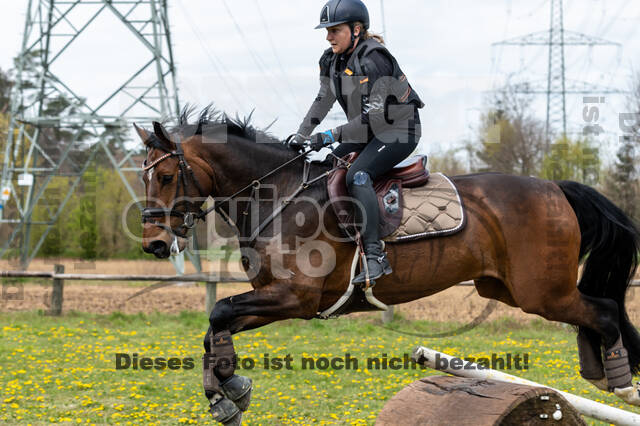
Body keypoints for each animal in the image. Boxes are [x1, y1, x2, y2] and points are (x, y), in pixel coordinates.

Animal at [134, 108, 640, 424]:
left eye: (166, 176)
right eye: (142, 177)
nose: (155, 244)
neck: (278, 197)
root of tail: (555, 188)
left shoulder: (296, 298)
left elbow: (218, 312)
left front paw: (229, 389)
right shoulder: (275, 299)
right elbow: (214, 325)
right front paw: (227, 393)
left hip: (540, 291)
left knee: (603, 311)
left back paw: (620, 383)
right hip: (507, 289)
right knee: (593, 311)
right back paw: (597, 371)